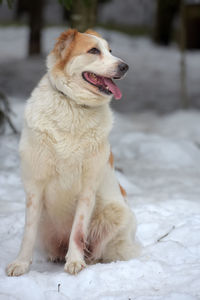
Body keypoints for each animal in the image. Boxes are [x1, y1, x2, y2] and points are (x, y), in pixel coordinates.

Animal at [5, 29, 139, 276]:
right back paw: (56, 256)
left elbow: (78, 232)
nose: (125, 66)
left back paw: (88, 259)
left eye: (110, 51)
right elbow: (27, 233)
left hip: (116, 212)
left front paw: (75, 261)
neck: (73, 105)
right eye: (94, 51)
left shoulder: (87, 188)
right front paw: (21, 263)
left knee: (96, 249)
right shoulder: (34, 187)